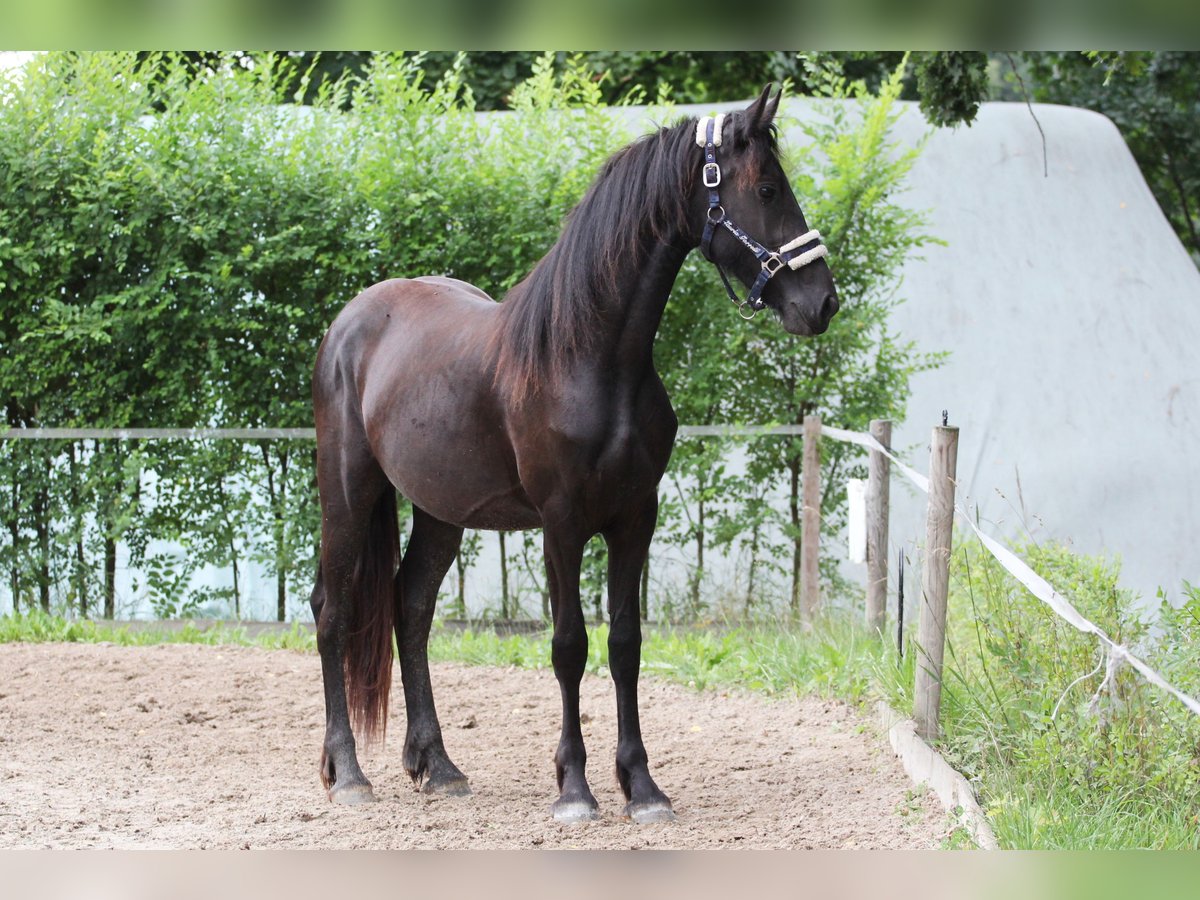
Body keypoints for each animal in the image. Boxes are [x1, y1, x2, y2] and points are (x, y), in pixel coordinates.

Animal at [309, 86, 838, 823]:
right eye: (766, 187)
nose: (823, 303)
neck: (588, 358)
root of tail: (349, 323)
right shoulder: (560, 524)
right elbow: (568, 646)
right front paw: (575, 789)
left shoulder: (634, 518)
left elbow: (624, 645)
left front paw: (642, 787)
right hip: (348, 491)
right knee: (331, 609)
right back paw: (349, 773)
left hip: (441, 511)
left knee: (408, 609)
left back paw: (437, 765)